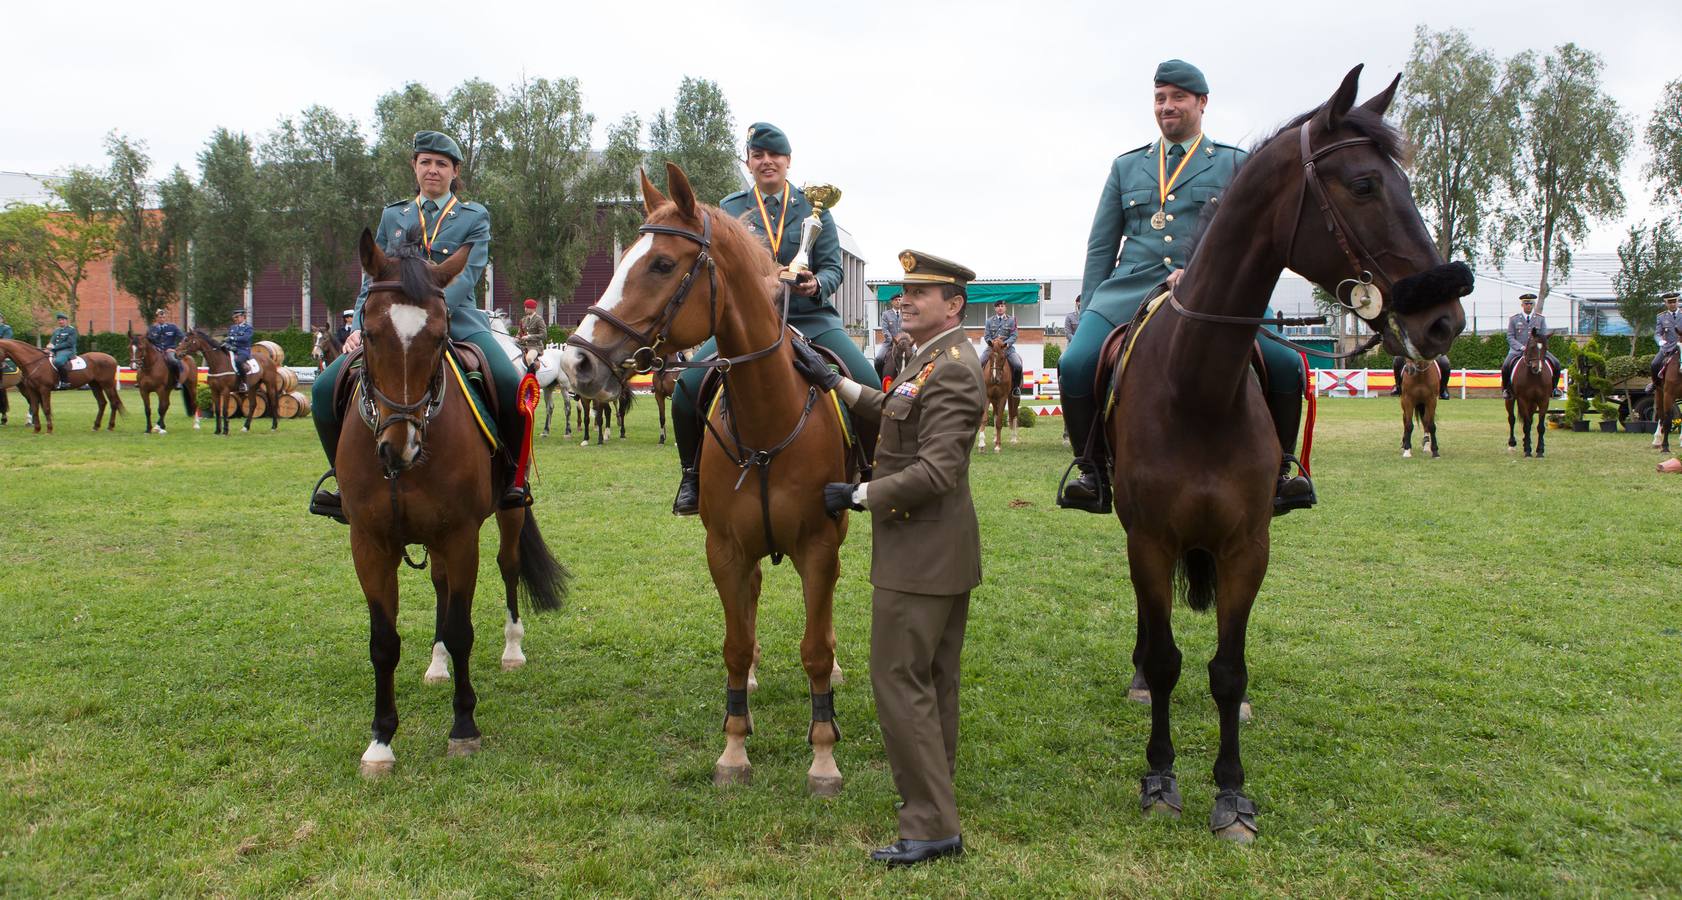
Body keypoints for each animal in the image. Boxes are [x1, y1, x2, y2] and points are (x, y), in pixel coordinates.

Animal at [338, 228, 568, 777]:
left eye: (440, 337)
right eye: (369, 333)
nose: (398, 446)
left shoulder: (462, 536)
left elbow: (463, 629)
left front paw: (464, 727)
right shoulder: (369, 543)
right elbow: (383, 642)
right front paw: (380, 741)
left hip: (508, 512)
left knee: (508, 567)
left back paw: (511, 650)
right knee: (441, 586)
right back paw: (437, 663)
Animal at [561, 164, 854, 797]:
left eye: (661, 264)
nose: (577, 363)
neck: (769, 417)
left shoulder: (819, 548)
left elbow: (816, 649)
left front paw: (823, 756)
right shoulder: (724, 549)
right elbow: (735, 646)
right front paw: (735, 748)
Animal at [1096, 66, 1466, 841]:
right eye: (1364, 184)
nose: (1444, 320)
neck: (1197, 382)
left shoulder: (1248, 545)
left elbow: (1227, 669)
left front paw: (1232, 793)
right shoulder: (1149, 539)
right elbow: (1170, 658)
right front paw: (1160, 776)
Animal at [1513, 329, 1547, 457]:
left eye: (1546, 348)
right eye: (1532, 347)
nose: (1537, 368)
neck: (1534, 378)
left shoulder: (1544, 401)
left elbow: (1540, 427)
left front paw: (1540, 450)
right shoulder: (1522, 400)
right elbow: (1527, 426)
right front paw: (1528, 450)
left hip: (1533, 403)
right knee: (1511, 419)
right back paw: (1512, 444)